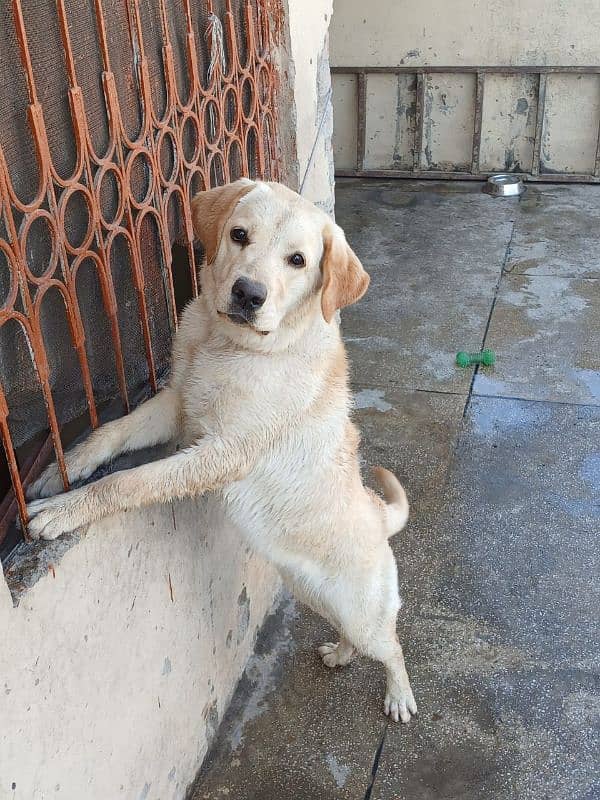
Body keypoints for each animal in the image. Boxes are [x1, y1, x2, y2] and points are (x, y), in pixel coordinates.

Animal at [24, 181, 418, 724]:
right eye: (239, 235)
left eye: (298, 260)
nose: (248, 294)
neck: (226, 342)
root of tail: (379, 517)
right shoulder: (175, 403)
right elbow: (110, 434)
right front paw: (62, 470)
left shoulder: (223, 451)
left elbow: (127, 482)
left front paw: (63, 511)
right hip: (310, 591)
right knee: (351, 636)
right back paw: (339, 654)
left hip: (363, 612)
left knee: (392, 646)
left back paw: (399, 696)